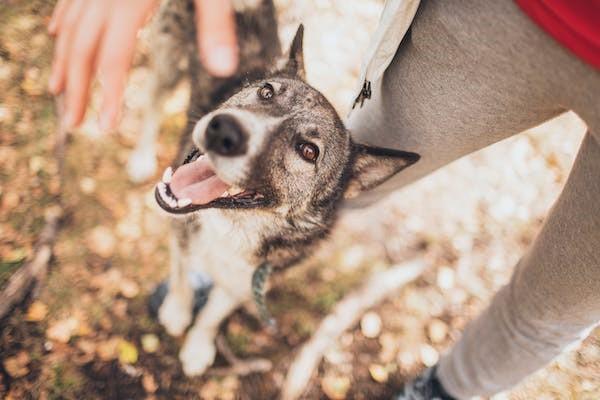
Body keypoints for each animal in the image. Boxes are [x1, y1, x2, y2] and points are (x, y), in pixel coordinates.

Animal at [144, 0, 420, 376]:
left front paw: (198, 345)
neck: (234, 227)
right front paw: (177, 309)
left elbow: (213, 315)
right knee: (152, 103)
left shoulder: (246, 281)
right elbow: (181, 272)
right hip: (167, 60)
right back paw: (139, 156)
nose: (222, 130)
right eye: (266, 91)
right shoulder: (181, 233)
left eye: (308, 151)